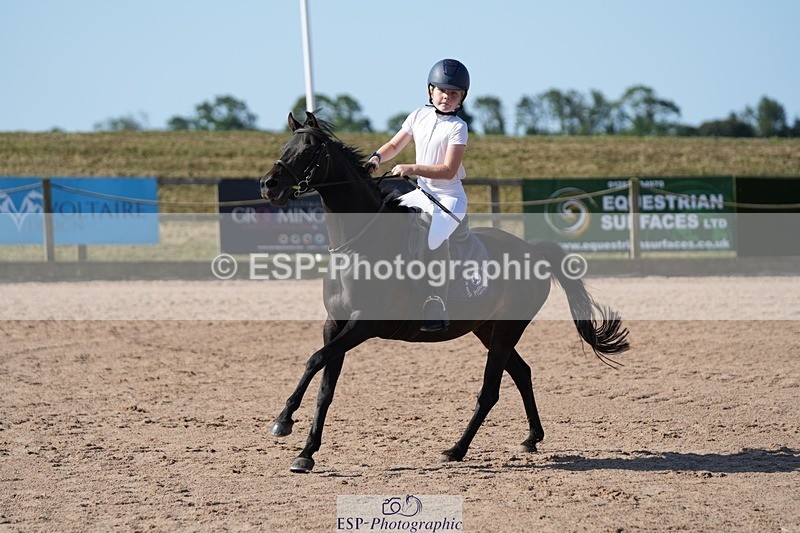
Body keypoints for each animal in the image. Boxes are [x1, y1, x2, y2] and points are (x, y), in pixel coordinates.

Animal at [260, 111, 629, 473]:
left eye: (308, 149)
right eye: (285, 146)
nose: (268, 185)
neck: (359, 243)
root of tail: (533, 251)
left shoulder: (363, 324)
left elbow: (314, 360)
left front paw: (283, 421)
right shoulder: (334, 324)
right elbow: (325, 385)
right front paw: (306, 452)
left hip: (506, 330)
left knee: (490, 391)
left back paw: (456, 449)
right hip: (487, 329)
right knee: (522, 373)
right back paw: (531, 438)